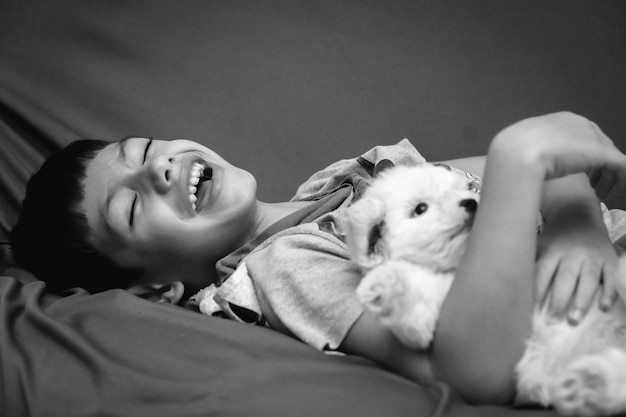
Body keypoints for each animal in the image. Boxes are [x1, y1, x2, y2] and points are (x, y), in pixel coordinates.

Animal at [344, 162, 624, 416]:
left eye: (463, 190)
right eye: (420, 208)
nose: (471, 203)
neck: (459, 267)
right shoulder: (432, 313)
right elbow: (416, 312)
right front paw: (386, 285)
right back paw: (589, 385)